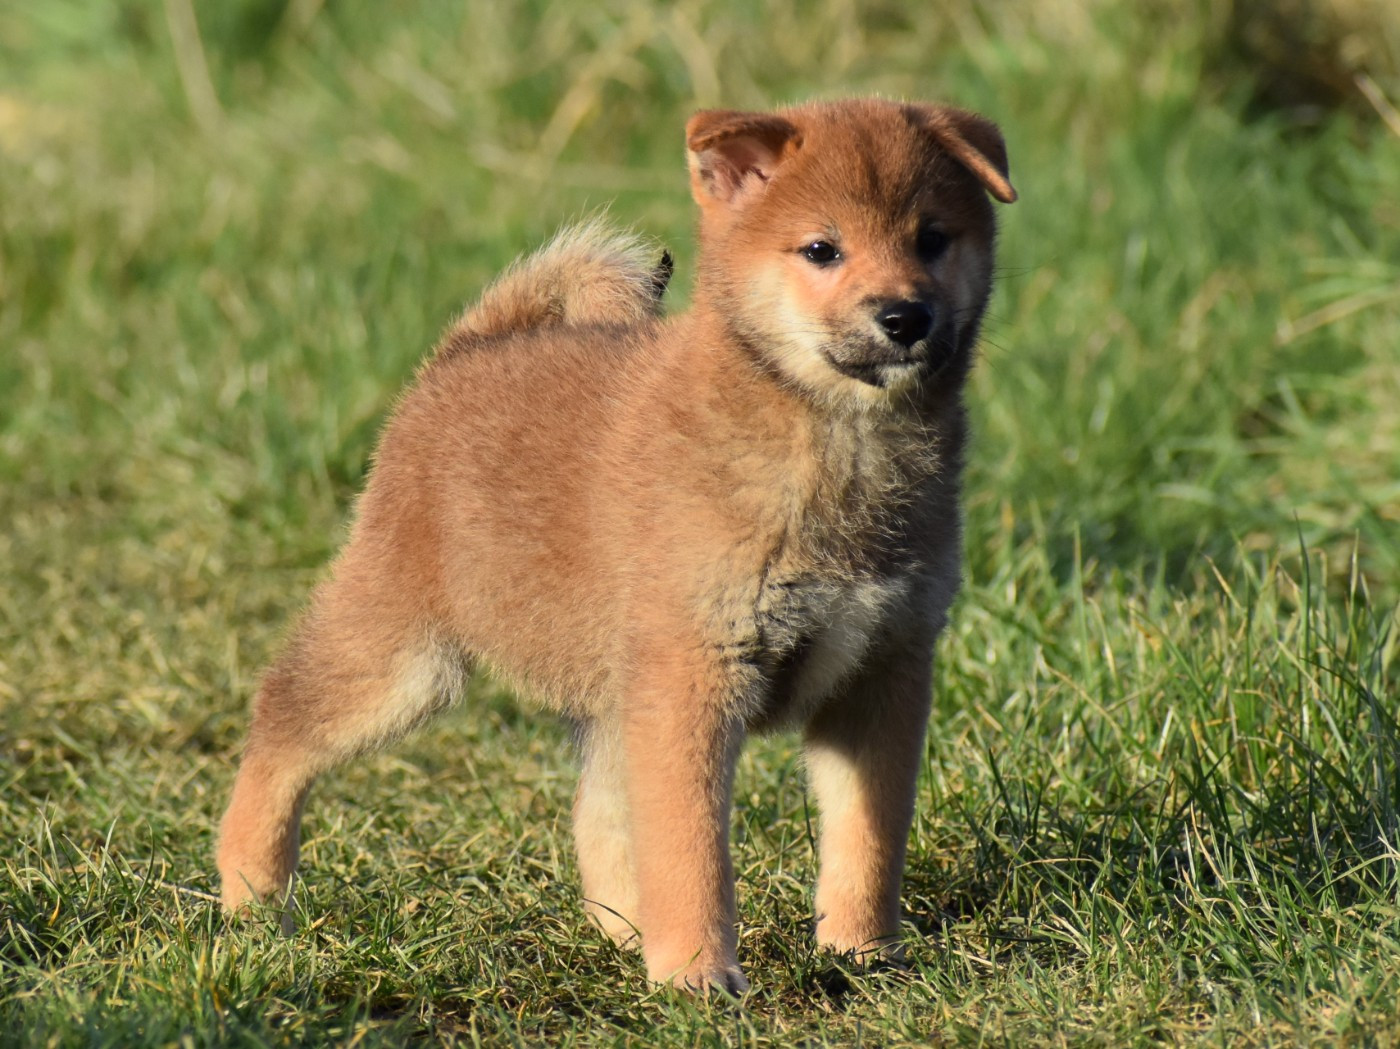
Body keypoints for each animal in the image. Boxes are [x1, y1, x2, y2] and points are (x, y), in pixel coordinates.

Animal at [217, 97, 1016, 994]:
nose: (904, 317)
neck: (837, 454)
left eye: (932, 237)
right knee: (281, 719)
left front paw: (863, 954)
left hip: (608, 686)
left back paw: (625, 934)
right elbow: (693, 854)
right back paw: (252, 891)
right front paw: (699, 978)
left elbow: (867, 840)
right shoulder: (696, 675)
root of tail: (469, 349)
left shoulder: (882, 670)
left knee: (595, 812)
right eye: (822, 249)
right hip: (405, 656)